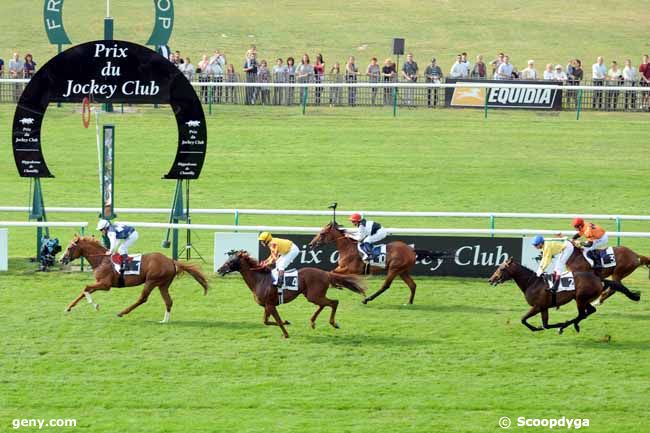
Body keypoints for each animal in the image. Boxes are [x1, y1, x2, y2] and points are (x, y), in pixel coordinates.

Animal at [60, 235, 208, 322]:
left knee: (143, 298)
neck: (101, 259)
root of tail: (171, 261)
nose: (62, 259)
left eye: (69, 247)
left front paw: (95, 305)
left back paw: (122, 313)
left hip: (151, 281)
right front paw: (68, 308)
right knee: (168, 301)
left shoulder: (105, 284)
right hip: (162, 284)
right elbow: (84, 291)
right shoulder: (99, 282)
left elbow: (86, 288)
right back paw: (164, 320)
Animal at [216, 248, 364, 336]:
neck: (259, 280)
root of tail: (326, 273)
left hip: (314, 295)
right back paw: (312, 322)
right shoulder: (267, 306)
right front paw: (287, 323)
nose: (219, 270)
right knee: (324, 304)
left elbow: (276, 320)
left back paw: (333, 323)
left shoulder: (270, 305)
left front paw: (286, 334)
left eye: (231, 261)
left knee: (334, 302)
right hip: (312, 295)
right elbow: (266, 321)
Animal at [308, 223, 440, 304]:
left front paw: (341, 285)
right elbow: (332, 273)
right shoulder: (342, 267)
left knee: (385, 286)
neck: (347, 248)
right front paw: (339, 284)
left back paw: (367, 299)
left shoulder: (351, 269)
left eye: (322, 233)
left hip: (394, 269)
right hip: (403, 271)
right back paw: (409, 302)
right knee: (412, 285)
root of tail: (411, 250)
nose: (311, 244)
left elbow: (332, 273)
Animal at [486, 256, 636, 334]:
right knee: (590, 311)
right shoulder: (544, 308)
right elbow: (545, 324)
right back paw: (571, 325)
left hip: (580, 299)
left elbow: (523, 319)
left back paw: (566, 326)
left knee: (582, 314)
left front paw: (540, 328)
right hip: (583, 299)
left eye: (501, 268)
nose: (491, 279)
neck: (532, 283)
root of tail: (599, 279)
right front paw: (541, 327)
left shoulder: (537, 306)